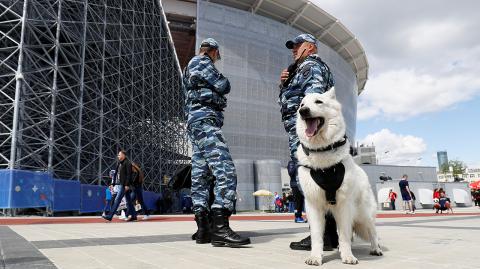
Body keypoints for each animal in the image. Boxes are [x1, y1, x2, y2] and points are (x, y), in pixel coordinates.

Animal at [296, 89, 382, 264]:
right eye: (302, 104)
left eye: (318, 102)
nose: (303, 111)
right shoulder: (314, 206)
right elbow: (317, 236)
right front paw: (315, 257)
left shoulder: (343, 206)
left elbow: (344, 235)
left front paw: (348, 256)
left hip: (364, 212)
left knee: (372, 230)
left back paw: (375, 248)